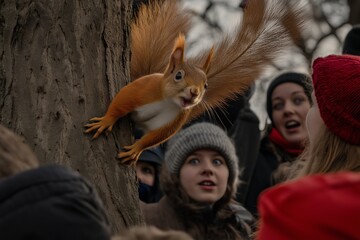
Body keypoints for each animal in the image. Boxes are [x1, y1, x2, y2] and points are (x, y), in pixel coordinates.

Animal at [85, 0, 306, 165]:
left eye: (206, 85)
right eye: (178, 75)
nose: (195, 93)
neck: (168, 102)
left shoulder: (175, 121)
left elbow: (155, 137)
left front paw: (136, 150)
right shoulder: (143, 90)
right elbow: (121, 101)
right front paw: (105, 121)